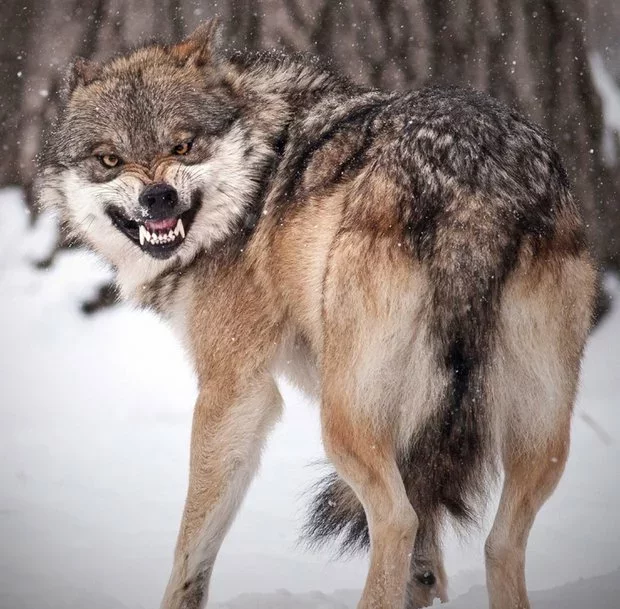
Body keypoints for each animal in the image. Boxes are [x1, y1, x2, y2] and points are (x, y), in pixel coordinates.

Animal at [37, 19, 596, 608]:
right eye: (110, 160)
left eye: (182, 146)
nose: (158, 198)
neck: (256, 175)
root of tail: (472, 179)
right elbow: (429, 545)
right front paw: (424, 586)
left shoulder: (234, 391)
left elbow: (190, 549)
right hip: (539, 436)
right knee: (498, 541)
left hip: (344, 422)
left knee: (398, 518)